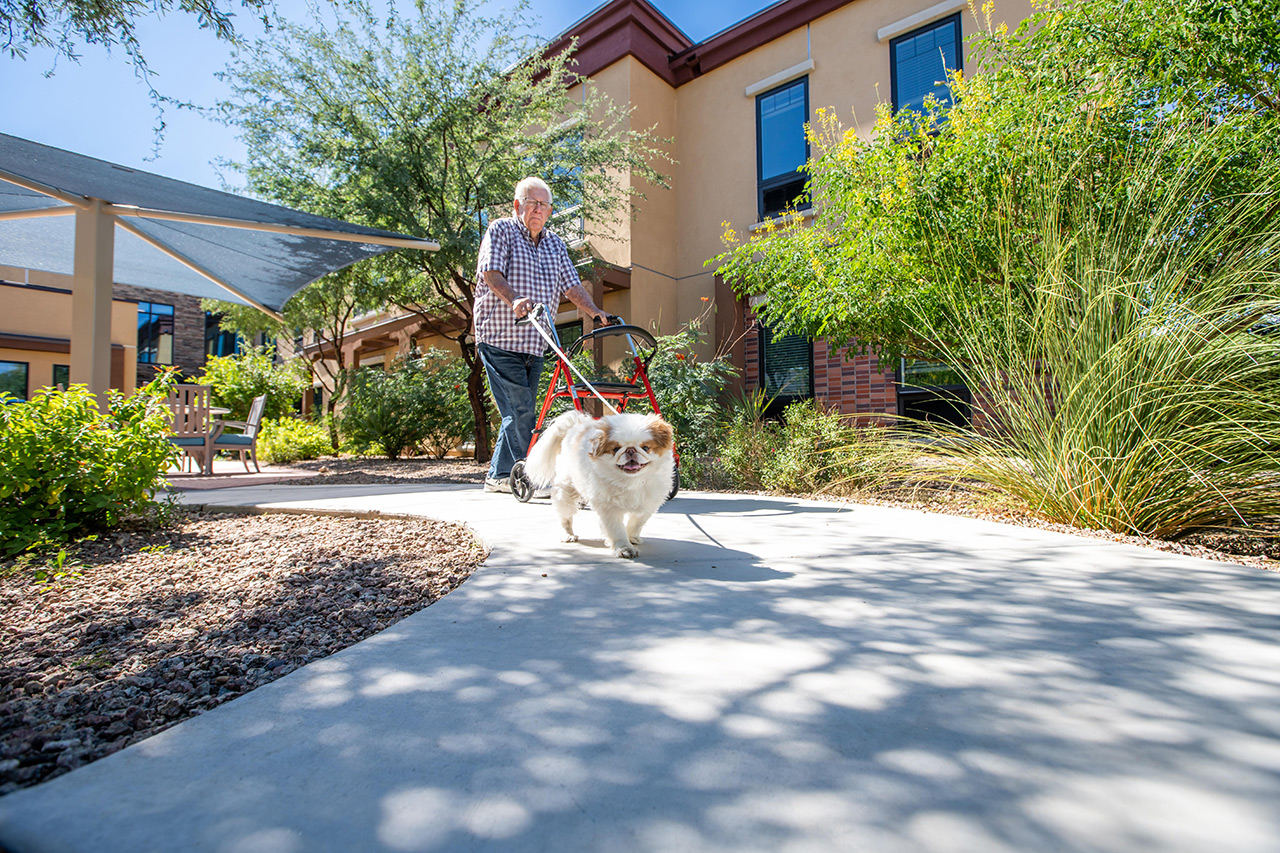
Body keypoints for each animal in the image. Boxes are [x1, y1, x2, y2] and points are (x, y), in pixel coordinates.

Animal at [524, 407, 675, 555]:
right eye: (616, 449)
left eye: (646, 448)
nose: (630, 450)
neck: (632, 481)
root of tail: (574, 425)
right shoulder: (609, 507)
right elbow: (617, 529)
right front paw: (624, 548)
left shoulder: (648, 503)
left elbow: (636, 523)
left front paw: (631, 538)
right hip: (566, 492)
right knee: (565, 516)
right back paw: (568, 535)